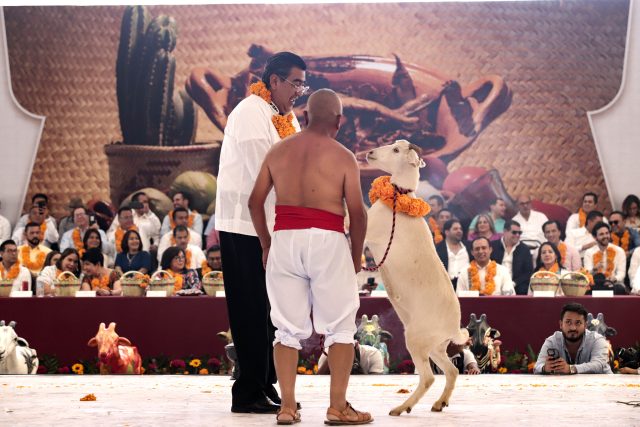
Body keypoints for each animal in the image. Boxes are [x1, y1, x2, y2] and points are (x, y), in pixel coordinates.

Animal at [364, 141, 470, 418]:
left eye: (396, 150)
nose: (370, 153)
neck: (398, 197)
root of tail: (453, 327)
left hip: (417, 340)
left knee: (429, 378)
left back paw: (402, 408)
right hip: (435, 347)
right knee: (451, 371)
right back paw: (439, 404)